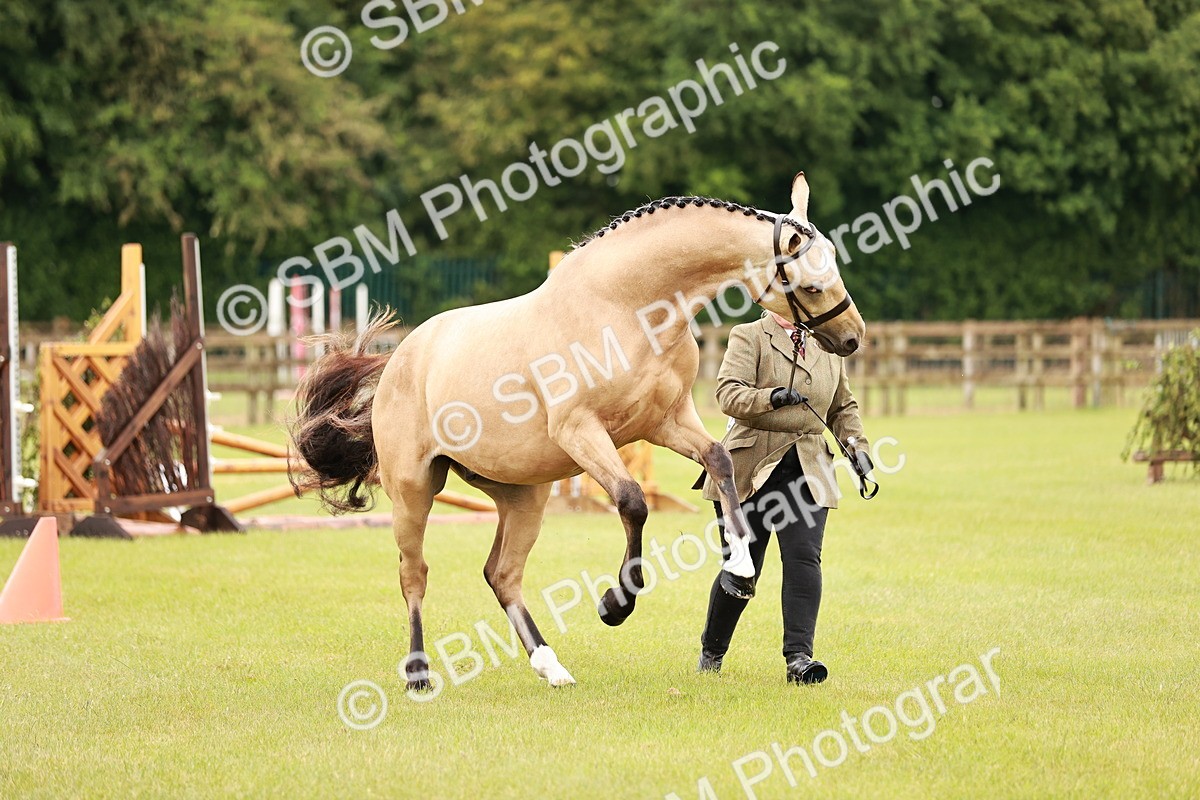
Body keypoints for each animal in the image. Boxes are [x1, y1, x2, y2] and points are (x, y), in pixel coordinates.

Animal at [290, 172, 865, 690]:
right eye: (811, 284)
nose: (852, 337)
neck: (626, 306)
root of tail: (399, 360)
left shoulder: (668, 421)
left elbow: (720, 462)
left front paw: (741, 568)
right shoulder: (581, 432)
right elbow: (633, 501)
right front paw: (616, 603)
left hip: (523, 494)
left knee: (502, 574)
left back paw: (551, 667)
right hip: (415, 490)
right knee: (415, 574)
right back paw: (418, 674)